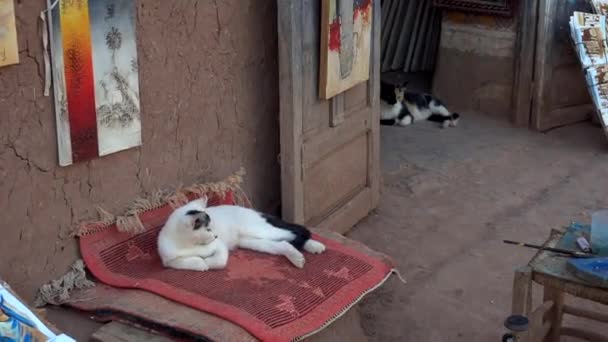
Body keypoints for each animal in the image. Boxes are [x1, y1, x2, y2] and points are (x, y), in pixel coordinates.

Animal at [158, 195, 328, 272]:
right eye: (208, 229)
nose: (216, 235)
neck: (191, 245)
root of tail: (254, 211)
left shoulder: (220, 246)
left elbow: (219, 260)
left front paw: (208, 263)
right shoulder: (168, 259)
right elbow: (182, 262)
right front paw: (200, 263)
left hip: (259, 229)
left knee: (296, 231)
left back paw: (315, 246)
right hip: (253, 241)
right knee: (284, 243)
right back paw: (298, 257)